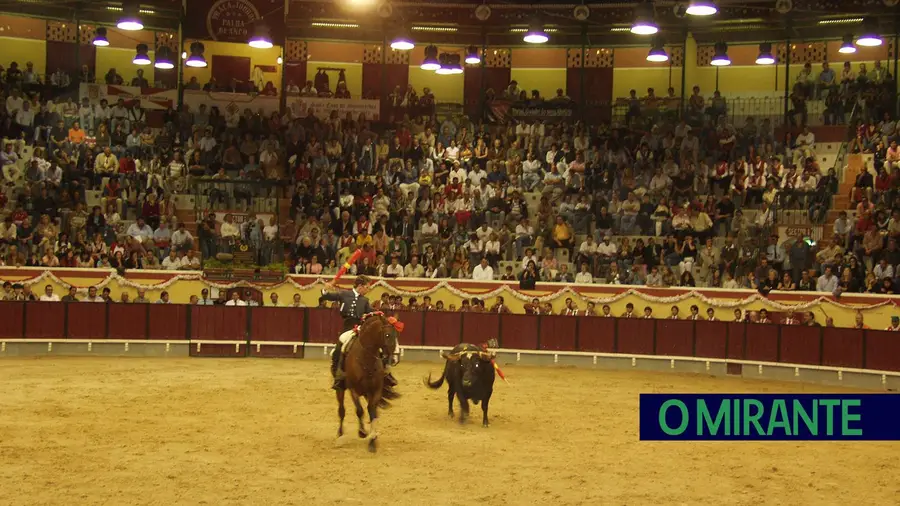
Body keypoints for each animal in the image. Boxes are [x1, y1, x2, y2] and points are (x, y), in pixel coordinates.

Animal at [336, 312, 400, 450]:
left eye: (397, 335)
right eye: (387, 335)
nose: (393, 360)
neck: (366, 359)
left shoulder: (375, 390)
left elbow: (372, 411)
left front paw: (372, 440)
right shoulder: (353, 389)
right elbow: (360, 410)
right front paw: (362, 432)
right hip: (340, 389)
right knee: (341, 410)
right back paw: (340, 434)